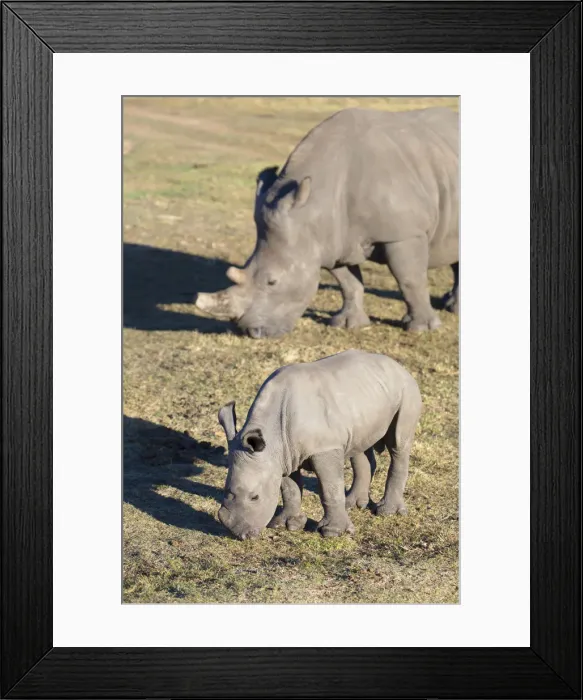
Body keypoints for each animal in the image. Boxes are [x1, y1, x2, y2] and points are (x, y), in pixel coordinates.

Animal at [196, 107, 459, 338]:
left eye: (272, 282)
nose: (251, 333)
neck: (314, 207)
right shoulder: (332, 239)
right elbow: (348, 282)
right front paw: (348, 325)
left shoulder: (403, 232)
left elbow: (410, 279)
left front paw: (421, 329)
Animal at [216, 349, 422, 540]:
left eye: (255, 497)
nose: (238, 534)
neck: (272, 434)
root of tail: (399, 366)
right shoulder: (282, 454)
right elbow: (289, 488)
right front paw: (287, 525)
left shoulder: (324, 448)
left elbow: (330, 488)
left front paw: (332, 533)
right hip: (366, 397)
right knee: (359, 446)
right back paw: (353, 504)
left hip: (407, 391)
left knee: (398, 444)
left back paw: (387, 512)